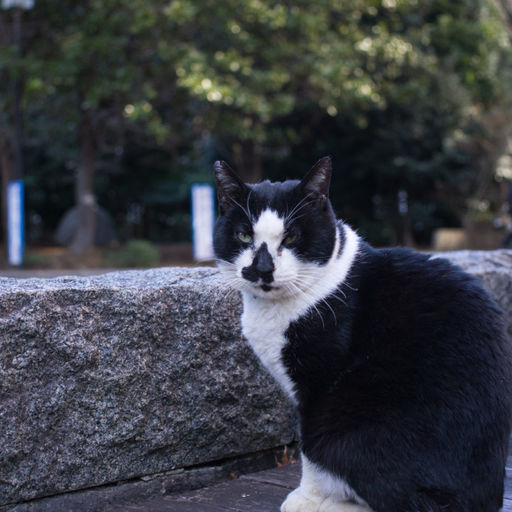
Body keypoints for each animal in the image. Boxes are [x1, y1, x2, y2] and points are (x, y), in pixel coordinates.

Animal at [212, 157, 512, 512]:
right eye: (244, 235)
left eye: (292, 238)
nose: (262, 269)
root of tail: (487, 497)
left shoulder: (318, 384)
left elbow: (308, 451)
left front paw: (307, 498)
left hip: (349, 423)